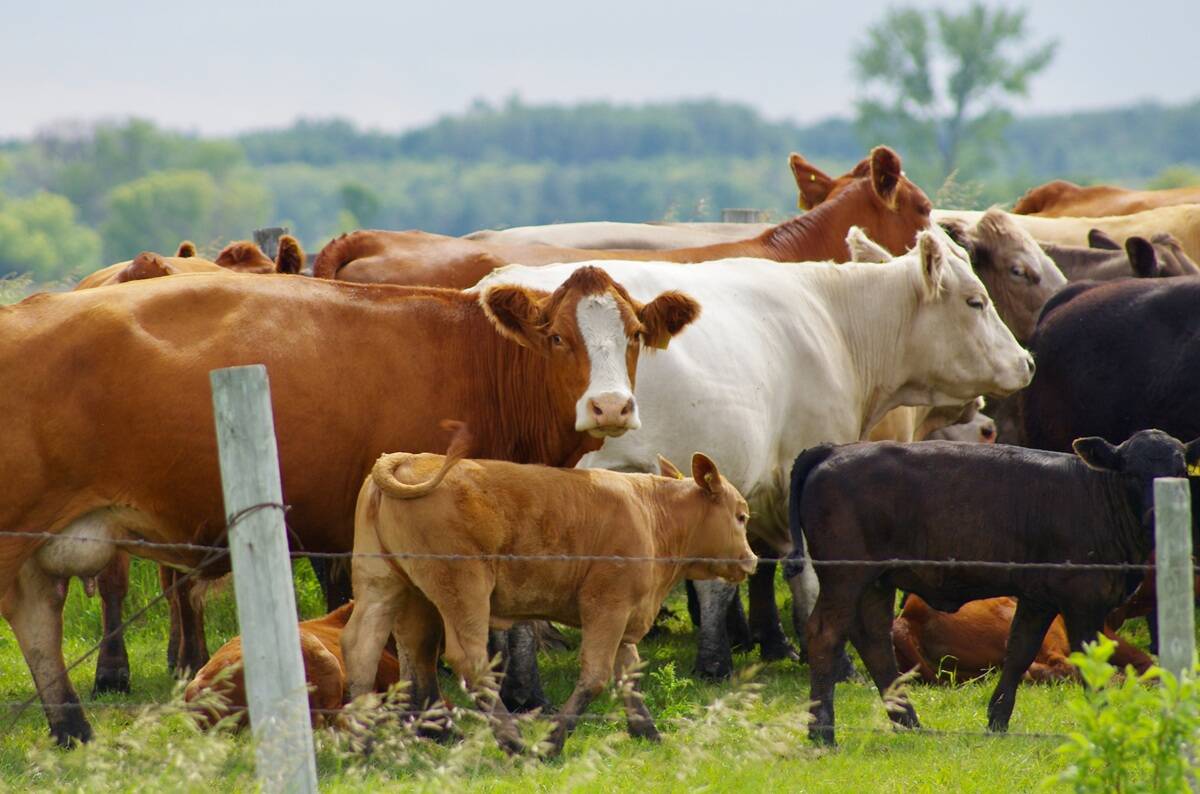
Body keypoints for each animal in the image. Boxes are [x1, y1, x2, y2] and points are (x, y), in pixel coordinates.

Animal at [343, 422, 757, 756]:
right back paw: (511, 739)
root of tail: (408, 459)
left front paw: (648, 732)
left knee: (370, 648)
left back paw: (366, 741)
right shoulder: (607, 606)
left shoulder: (626, 617)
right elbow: (596, 675)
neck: (650, 512)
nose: (751, 560)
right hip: (463, 588)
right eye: (741, 516)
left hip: (386, 585)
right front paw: (553, 741)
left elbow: (629, 676)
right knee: (469, 661)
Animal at [476, 227, 1034, 682]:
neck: (833, 322)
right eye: (975, 302)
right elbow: (806, 574)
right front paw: (830, 662)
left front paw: (736, 655)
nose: (1026, 361)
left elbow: (739, 574)